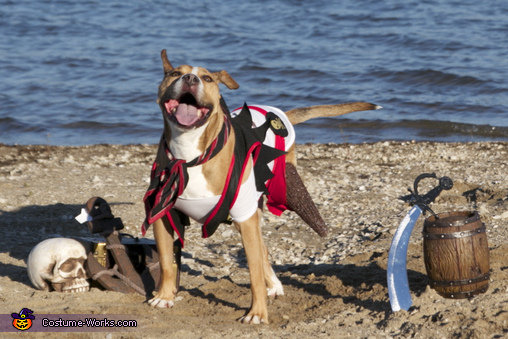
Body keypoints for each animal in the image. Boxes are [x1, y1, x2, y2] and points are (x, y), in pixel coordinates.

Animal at [141, 49, 380, 324]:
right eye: (174, 73)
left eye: (207, 78)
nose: (190, 78)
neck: (190, 155)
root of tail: (276, 112)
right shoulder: (162, 213)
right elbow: (166, 262)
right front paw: (165, 296)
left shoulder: (245, 218)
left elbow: (253, 273)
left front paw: (257, 313)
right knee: (263, 248)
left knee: (261, 251)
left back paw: (271, 286)